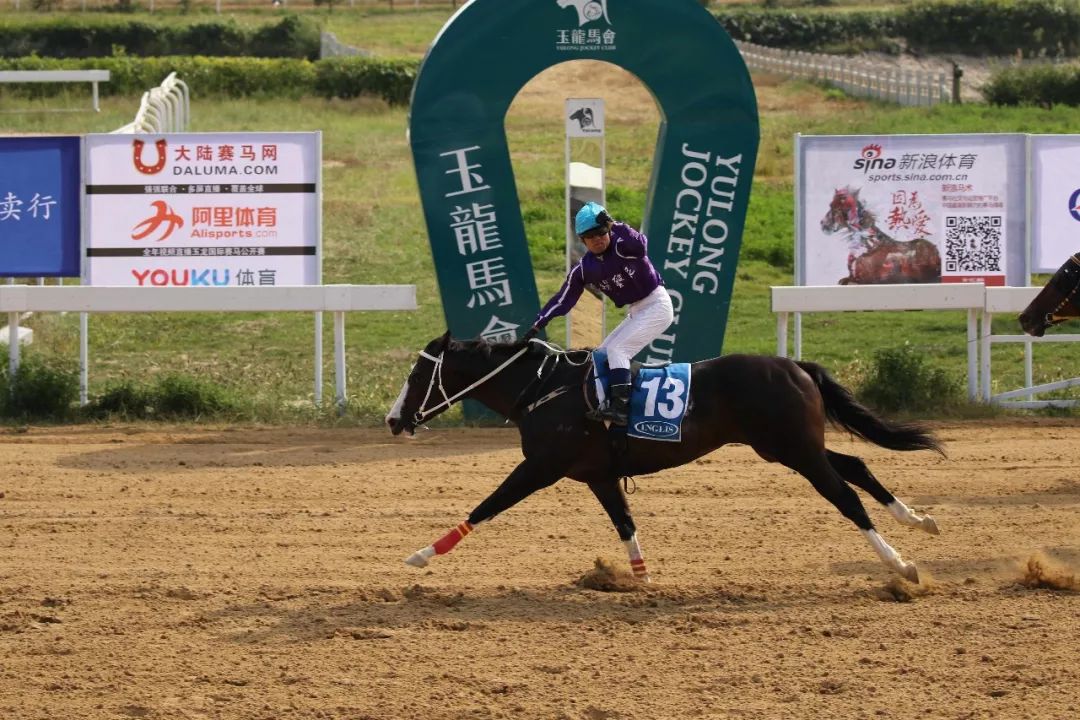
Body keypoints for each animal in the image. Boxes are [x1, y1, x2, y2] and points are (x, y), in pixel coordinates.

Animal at [384, 334, 941, 582]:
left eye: (417, 375)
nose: (393, 419)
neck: (543, 390)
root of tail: (794, 365)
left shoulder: (541, 467)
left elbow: (487, 505)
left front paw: (422, 553)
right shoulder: (597, 475)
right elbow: (625, 522)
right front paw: (638, 575)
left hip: (794, 450)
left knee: (845, 495)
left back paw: (899, 561)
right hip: (788, 447)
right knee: (856, 467)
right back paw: (918, 519)